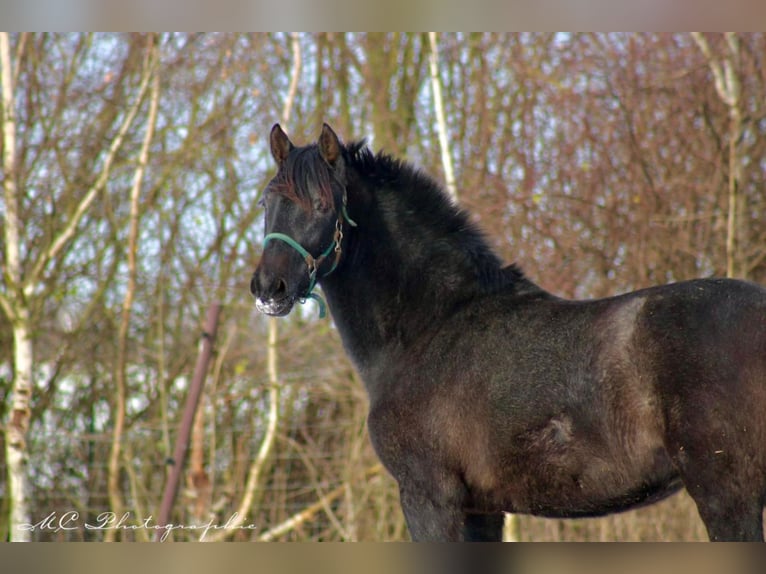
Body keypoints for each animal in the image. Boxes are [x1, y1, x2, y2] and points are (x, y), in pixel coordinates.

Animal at [252, 124, 766, 544]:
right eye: (266, 203)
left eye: (322, 204)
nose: (268, 288)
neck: (429, 326)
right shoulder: (482, 509)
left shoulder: (430, 498)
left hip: (727, 493)